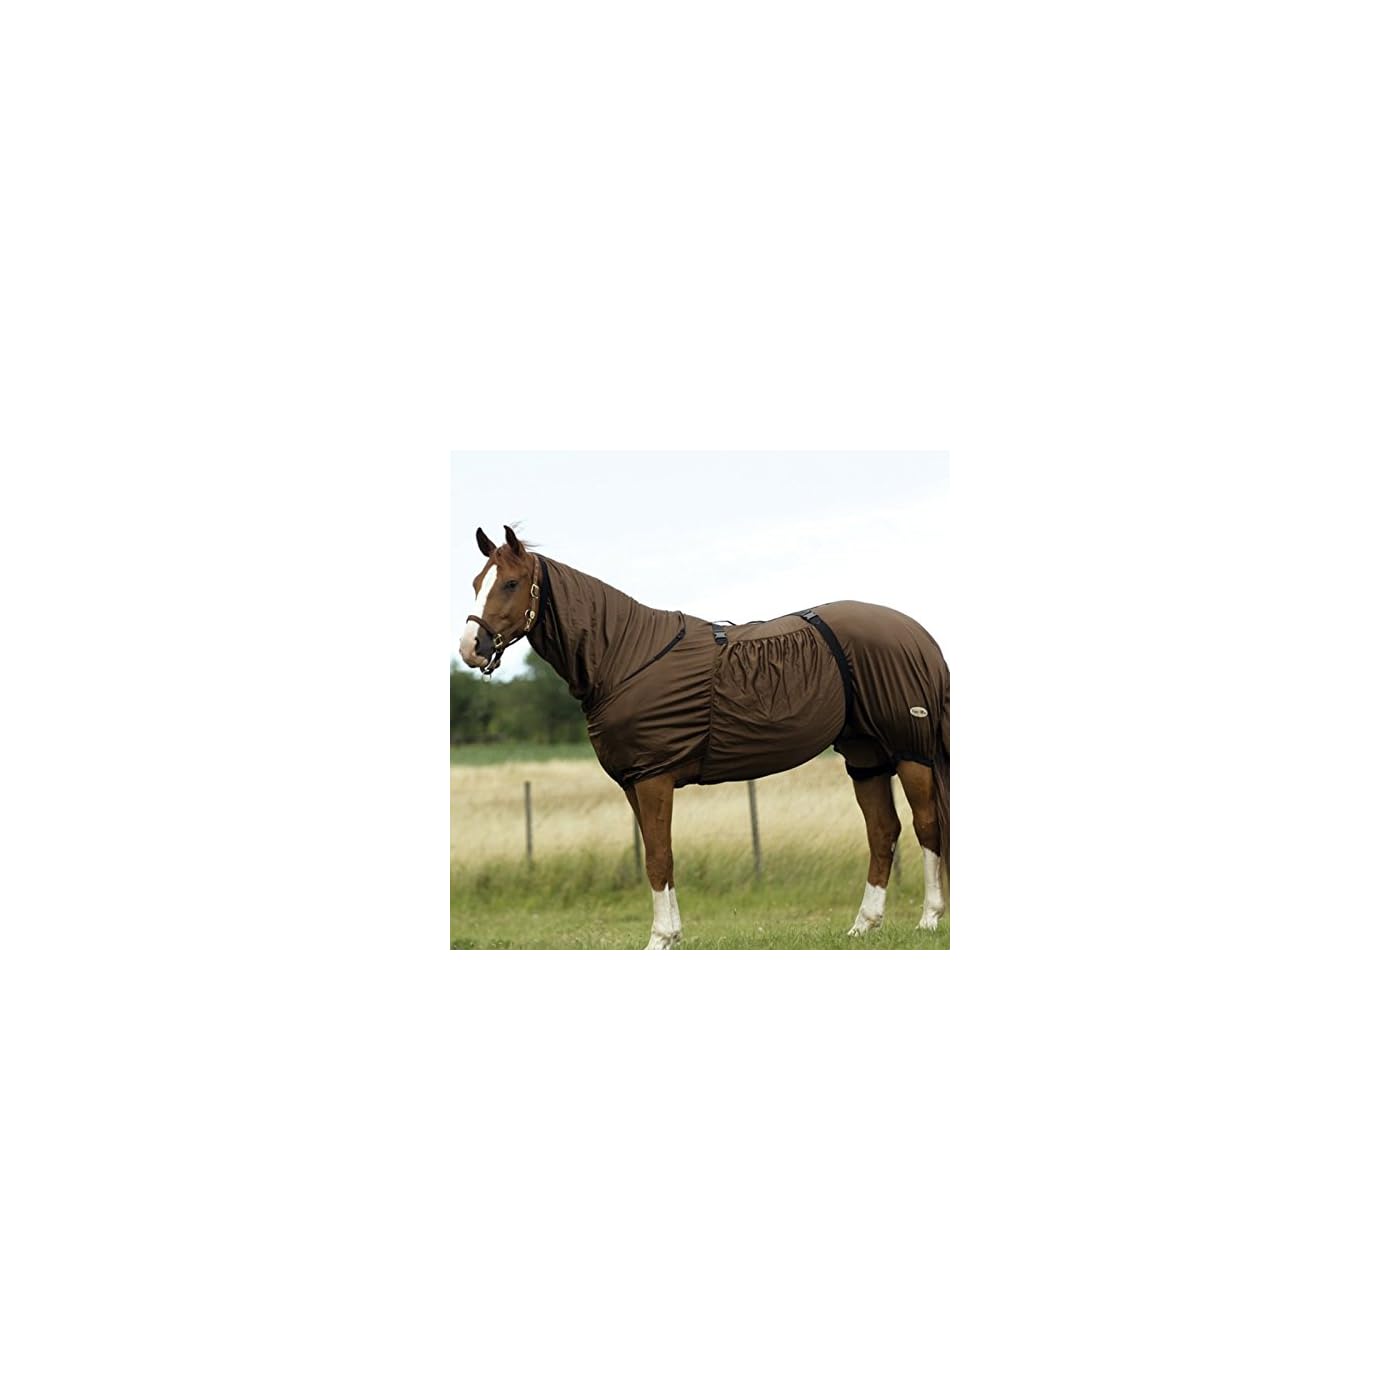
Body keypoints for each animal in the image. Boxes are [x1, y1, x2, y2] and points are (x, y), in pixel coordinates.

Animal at [459, 525, 949, 949]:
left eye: (511, 583)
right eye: (477, 582)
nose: (471, 648)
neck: (624, 656)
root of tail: (917, 633)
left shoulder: (653, 778)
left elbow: (658, 857)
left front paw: (659, 940)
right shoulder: (635, 782)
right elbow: (660, 855)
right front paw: (673, 935)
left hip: (911, 752)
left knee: (926, 825)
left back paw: (928, 919)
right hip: (865, 756)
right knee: (882, 830)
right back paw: (863, 926)